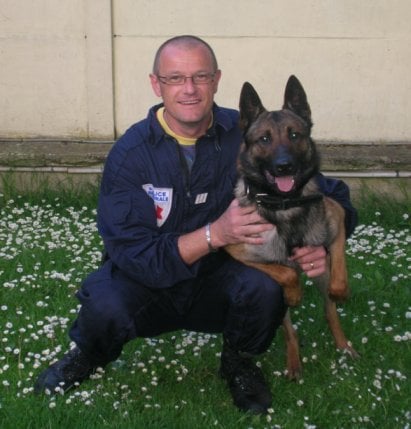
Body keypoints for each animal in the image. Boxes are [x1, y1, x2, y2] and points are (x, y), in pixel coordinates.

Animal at [227, 76, 358, 378]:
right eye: (264, 139)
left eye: (295, 135)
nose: (283, 166)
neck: (285, 204)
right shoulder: (238, 251)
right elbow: (285, 273)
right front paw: (296, 291)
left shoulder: (337, 219)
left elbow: (339, 268)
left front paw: (341, 291)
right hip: (278, 302)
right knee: (289, 330)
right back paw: (294, 361)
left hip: (321, 275)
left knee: (330, 311)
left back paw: (344, 345)